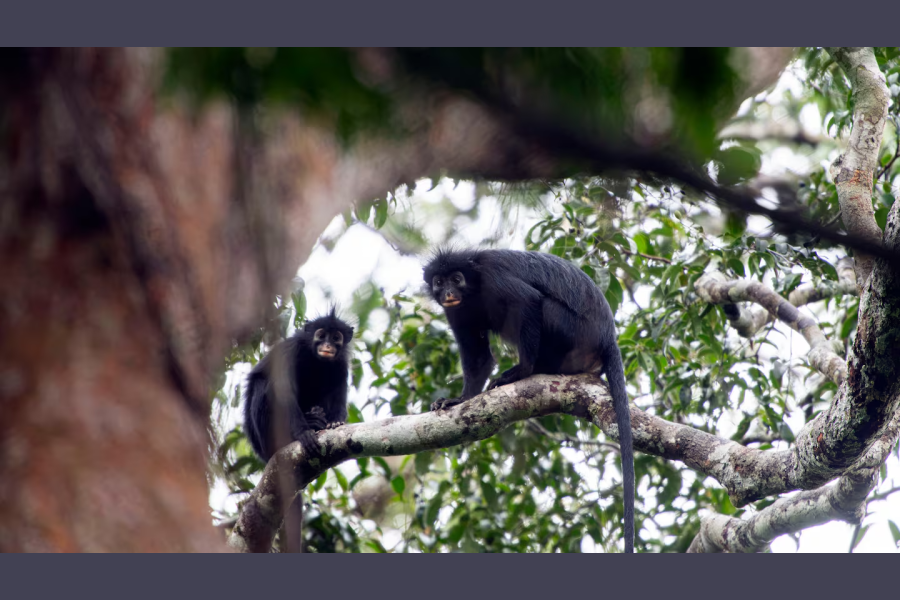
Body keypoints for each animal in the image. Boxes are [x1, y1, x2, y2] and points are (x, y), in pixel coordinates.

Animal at [243, 308, 354, 462]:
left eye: (335, 338)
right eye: (321, 336)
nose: (327, 345)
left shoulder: (341, 363)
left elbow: (339, 392)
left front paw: (336, 421)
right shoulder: (291, 350)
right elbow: (283, 389)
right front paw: (303, 433)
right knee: (262, 384)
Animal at [423, 248, 635, 553]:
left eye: (457, 278)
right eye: (439, 282)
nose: (449, 291)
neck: (474, 288)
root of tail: (608, 336)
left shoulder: (493, 276)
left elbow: (529, 300)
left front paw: (521, 371)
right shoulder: (456, 310)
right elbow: (478, 358)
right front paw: (458, 400)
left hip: (572, 330)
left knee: (543, 306)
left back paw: (534, 369)